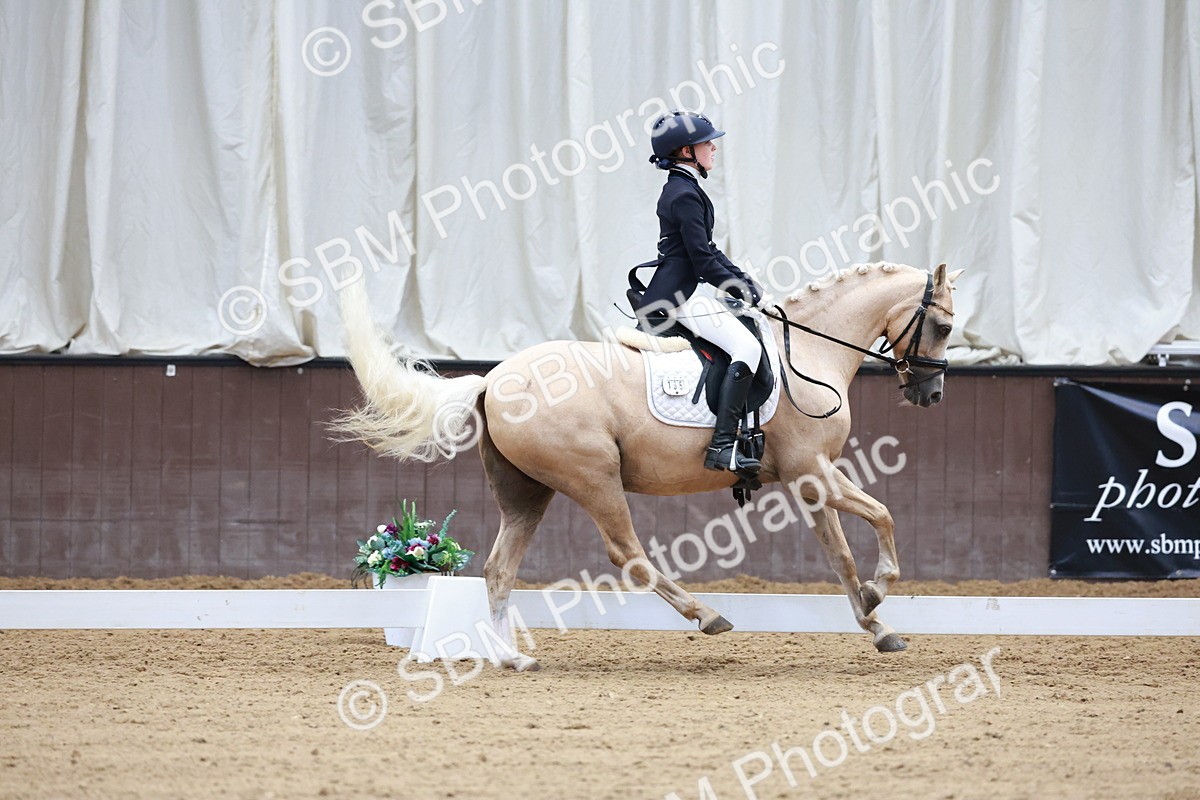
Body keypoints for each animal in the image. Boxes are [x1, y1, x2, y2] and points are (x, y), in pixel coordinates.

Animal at [334, 261, 961, 670]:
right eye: (945, 326)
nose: (930, 394)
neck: (807, 354)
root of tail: (494, 379)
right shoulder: (812, 471)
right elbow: (881, 517)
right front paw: (880, 594)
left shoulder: (809, 479)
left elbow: (841, 555)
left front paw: (878, 626)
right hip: (593, 478)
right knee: (627, 554)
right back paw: (707, 616)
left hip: (527, 493)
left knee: (498, 569)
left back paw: (512, 658)